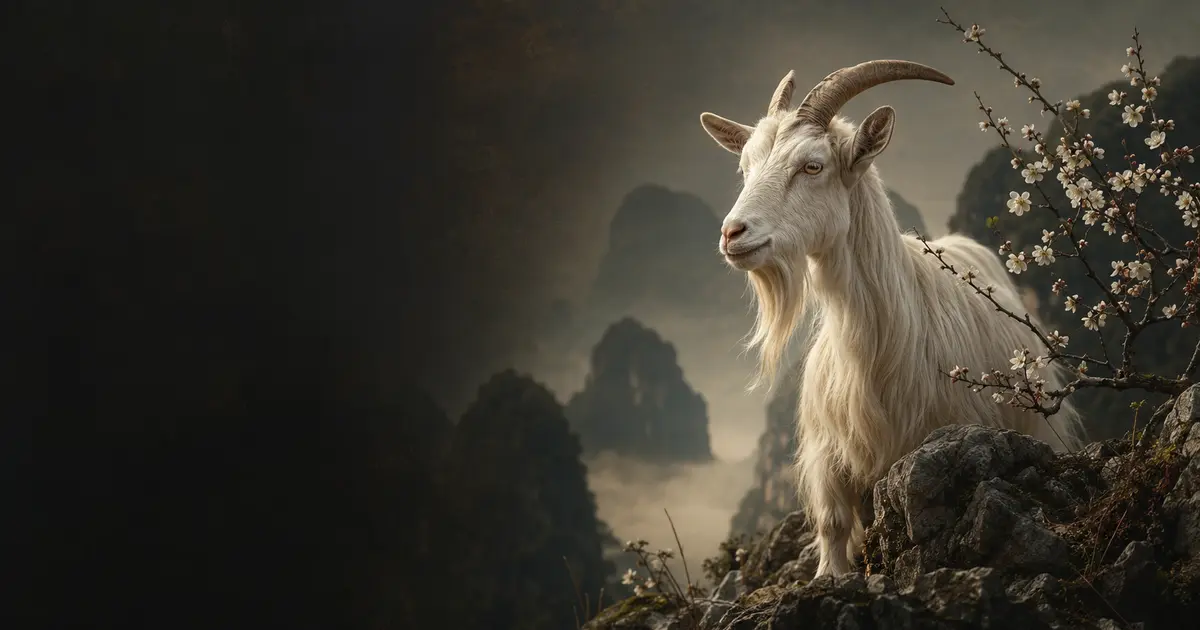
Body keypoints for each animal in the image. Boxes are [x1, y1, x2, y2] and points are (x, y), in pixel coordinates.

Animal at [698, 60, 1085, 577]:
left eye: (812, 166)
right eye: (745, 167)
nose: (732, 233)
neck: (879, 343)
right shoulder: (828, 455)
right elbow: (833, 525)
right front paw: (828, 575)